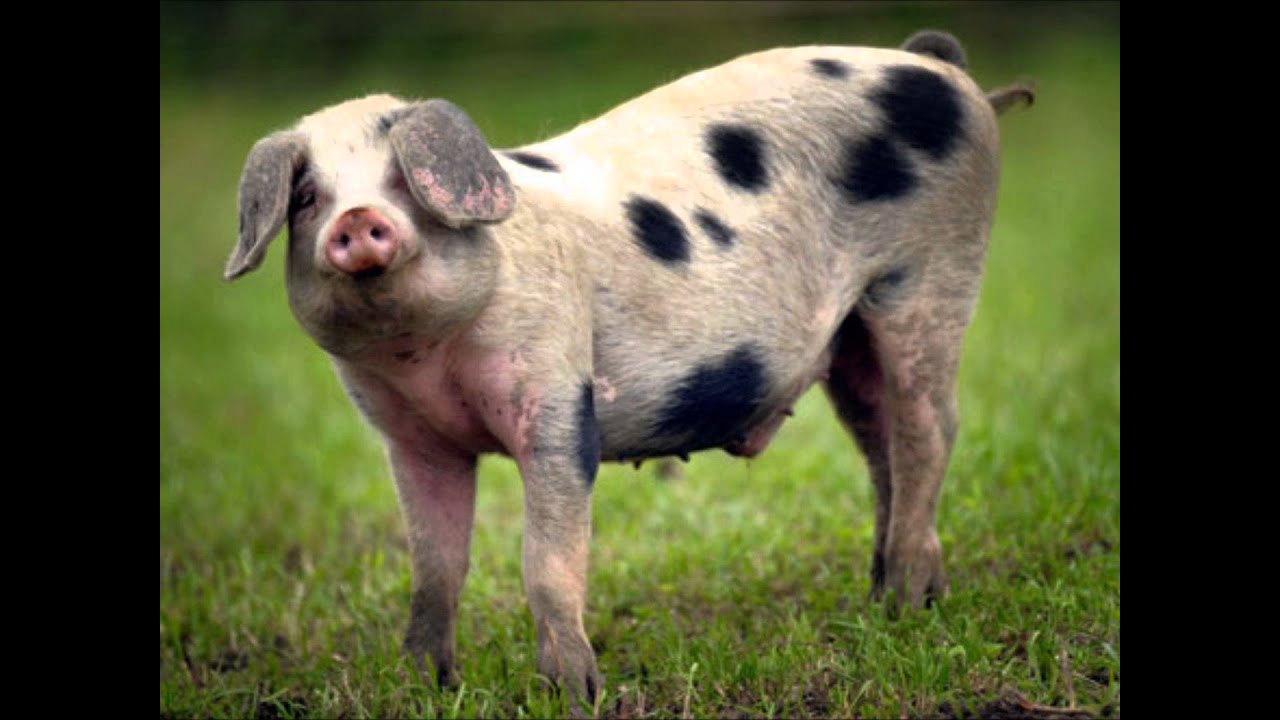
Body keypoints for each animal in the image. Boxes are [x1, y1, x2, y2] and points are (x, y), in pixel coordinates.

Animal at [225, 30, 1032, 704]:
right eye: (307, 197)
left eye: (402, 183)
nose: (358, 219)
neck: (426, 358)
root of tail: (940, 68)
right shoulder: (411, 438)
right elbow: (434, 567)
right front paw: (423, 688)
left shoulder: (557, 395)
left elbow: (547, 561)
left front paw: (574, 695)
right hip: (851, 338)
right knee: (881, 446)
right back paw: (886, 601)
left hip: (931, 273)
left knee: (930, 428)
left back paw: (904, 604)